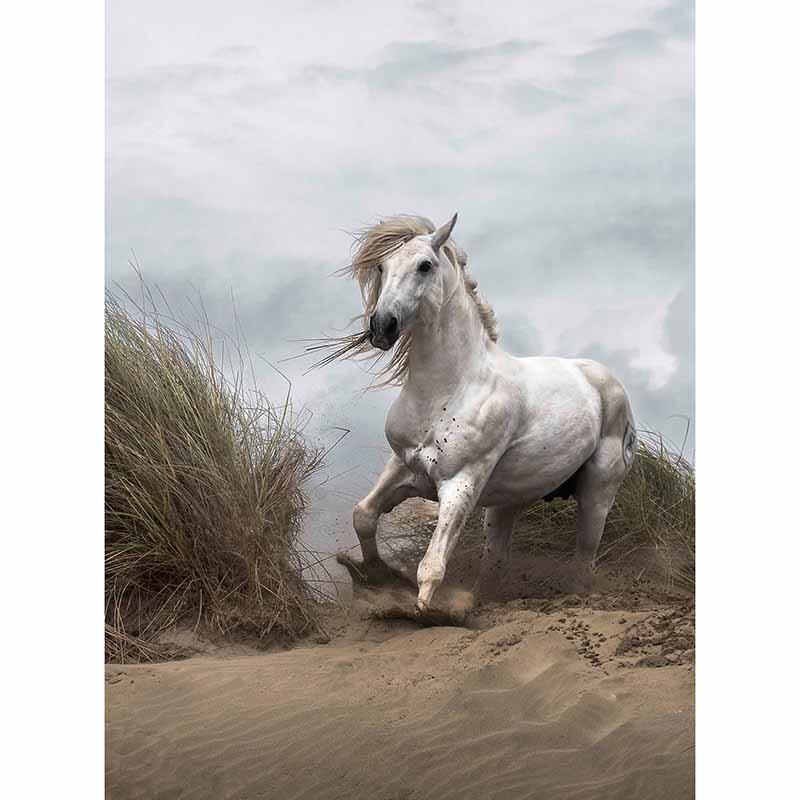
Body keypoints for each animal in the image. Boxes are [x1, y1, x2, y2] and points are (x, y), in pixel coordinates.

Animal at [330, 213, 637, 618]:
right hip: (507, 504)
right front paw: (377, 580)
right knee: (495, 561)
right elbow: (363, 516)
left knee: (584, 562)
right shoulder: (403, 467)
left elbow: (432, 565)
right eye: (382, 266)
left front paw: (422, 611)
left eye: (424, 265)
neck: (450, 385)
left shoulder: (461, 483)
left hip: (597, 495)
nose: (382, 326)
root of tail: (607, 382)